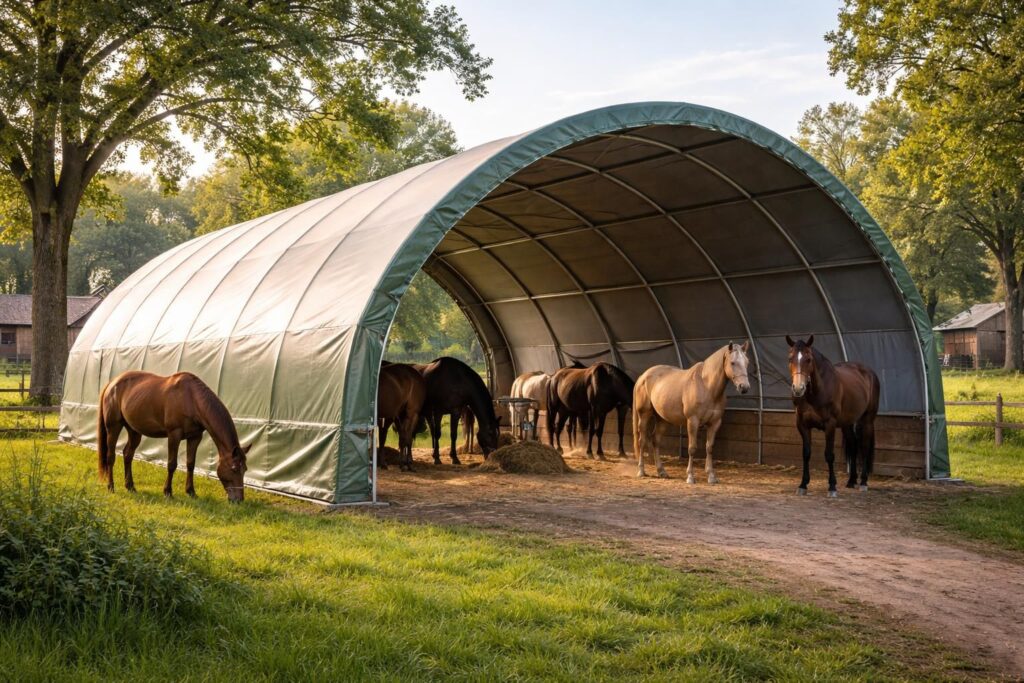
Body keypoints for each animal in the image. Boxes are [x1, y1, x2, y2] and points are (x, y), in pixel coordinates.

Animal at [97, 371, 250, 502]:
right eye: (234, 468)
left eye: (245, 469)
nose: (239, 500)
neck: (191, 398)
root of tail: (112, 383)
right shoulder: (174, 435)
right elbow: (172, 464)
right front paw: (168, 492)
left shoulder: (195, 437)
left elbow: (190, 464)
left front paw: (191, 491)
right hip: (114, 427)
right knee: (111, 456)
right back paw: (111, 487)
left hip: (134, 431)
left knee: (127, 455)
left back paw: (130, 486)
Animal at [633, 343, 751, 482]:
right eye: (732, 363)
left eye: (747, 362)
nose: (744, 387)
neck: (706, 386)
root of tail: (643, 376)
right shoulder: (693, 421)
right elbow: (692, 448)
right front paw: (690, 476)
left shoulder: (715, 423)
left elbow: (709, 447)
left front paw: (711, 476)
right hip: (644, 415)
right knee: (642, 441)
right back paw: (641, 471)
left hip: (662, 419)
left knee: (655, 440)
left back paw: (661, 471)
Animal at [786, 335, 880, 497]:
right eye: (790, 358)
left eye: (808, 359)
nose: (798, 389)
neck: (817, 392)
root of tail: (870, 372)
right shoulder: (803, 425)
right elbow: (806, 454)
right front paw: (803, 484)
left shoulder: (830, 425)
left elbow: (829, 454)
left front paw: (832, 486)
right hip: (847, 423)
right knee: (853, 446)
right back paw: (851, 481)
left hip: (867, 420)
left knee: (864, 446)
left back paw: (863, 482)